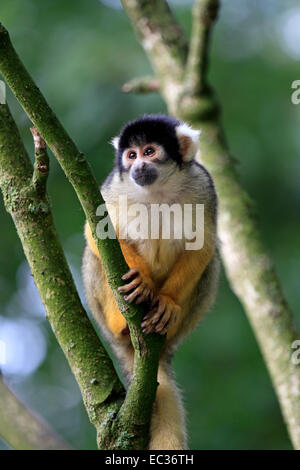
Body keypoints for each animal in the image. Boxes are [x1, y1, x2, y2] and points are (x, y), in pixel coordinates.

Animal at [81, 113, 218, 448]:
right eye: (131, 155)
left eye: (150, 151)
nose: (138, 166)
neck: (157, 190)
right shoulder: (115, 186)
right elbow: (96, 231)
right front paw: (142, 279)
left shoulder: (202, 184)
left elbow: (203, 244)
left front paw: (167, 303)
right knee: (96, 257)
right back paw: (122, 319)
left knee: (211, 261)